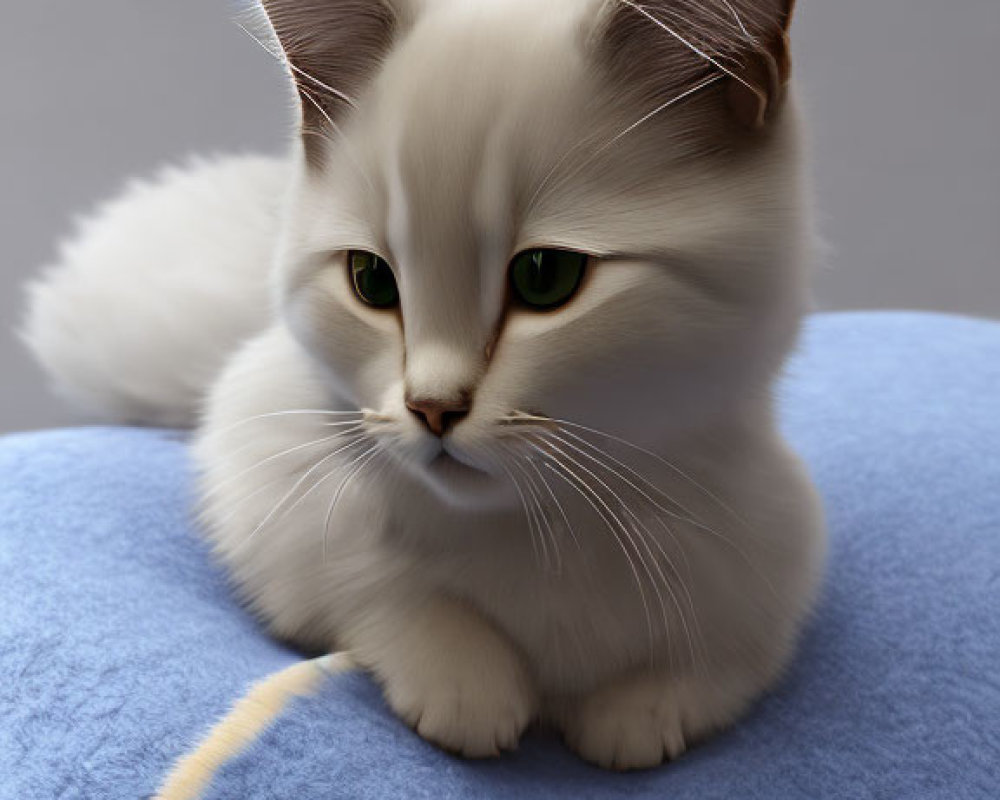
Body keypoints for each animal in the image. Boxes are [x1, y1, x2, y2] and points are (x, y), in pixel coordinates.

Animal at [23, 1, 824, 776]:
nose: (432, 408)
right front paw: (467, 683)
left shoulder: (772, 561)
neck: (544, 527)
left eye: (547, 277)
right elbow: (380, 588)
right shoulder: (266, 473)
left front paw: (639, 710)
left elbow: (720, 663)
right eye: (371, 280)